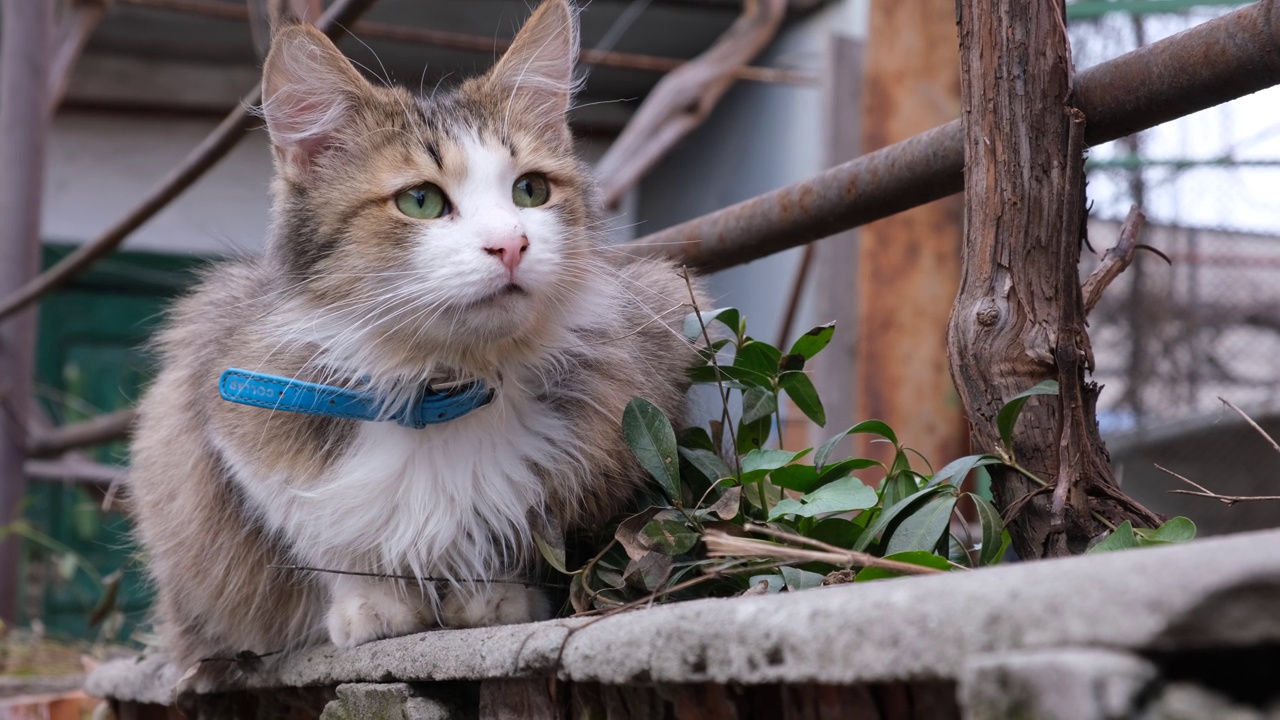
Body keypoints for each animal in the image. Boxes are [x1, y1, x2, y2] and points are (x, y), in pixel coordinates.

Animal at [128, 0, 701, 671]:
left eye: (530, 190)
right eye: (421, 201)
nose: (512, 244)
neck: (439, 387)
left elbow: (515, 536)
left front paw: (493, 599)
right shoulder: (231, 409)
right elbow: (331, 543)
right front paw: (372, 606)